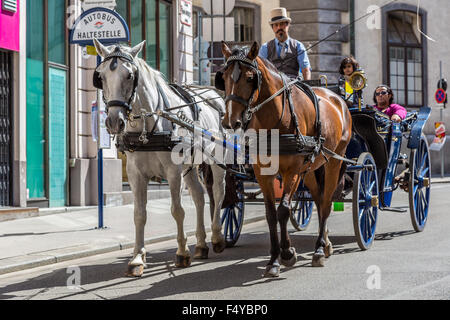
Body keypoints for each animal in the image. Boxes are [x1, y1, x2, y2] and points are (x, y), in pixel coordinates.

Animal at [92, 38, 227, 276]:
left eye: (130, 75)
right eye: (101, 76)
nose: (114, 122)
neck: (148, 126)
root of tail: (214, 94)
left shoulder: (173, 172)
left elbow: (177, 210)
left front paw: (182, 253)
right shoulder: (135, 174)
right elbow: (139, 214)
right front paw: (137, 258)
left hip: (216, 160)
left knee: (219, 192)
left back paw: (218, 237)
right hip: (190, 166)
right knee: (199, 196)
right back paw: (201, 244)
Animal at [220, 42, 354, 278]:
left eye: (249, 77)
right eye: (225, 76)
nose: (230, 121)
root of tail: (337, 98)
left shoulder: (292, 170)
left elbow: (283, 210)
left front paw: (287, 253)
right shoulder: (263, 172)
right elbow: (271, 214)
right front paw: (274, 259)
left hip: (333, 161)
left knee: (326, 203)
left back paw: (319, 249)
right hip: (310, 169)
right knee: (318, 199)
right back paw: (326, 243)